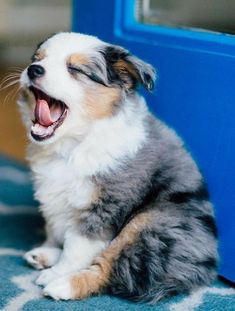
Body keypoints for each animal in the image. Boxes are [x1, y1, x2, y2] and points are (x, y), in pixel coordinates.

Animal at [18, 33, 218, 304]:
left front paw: (59, 272)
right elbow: (55, 228)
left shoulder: (104, 205)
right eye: (37, 59)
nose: (33, 70)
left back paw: (62, 285)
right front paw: (51, 250)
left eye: (75, 69)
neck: (74, 144)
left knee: (113, 267)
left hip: (150, 222)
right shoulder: (55, 197)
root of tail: (207, 266)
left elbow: (77, 246)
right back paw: (44, 257)